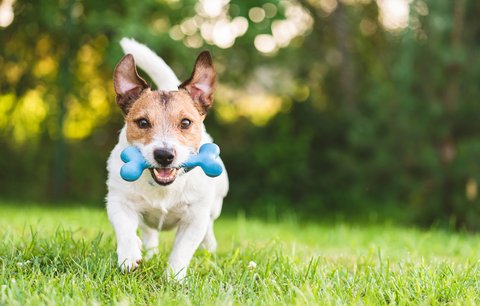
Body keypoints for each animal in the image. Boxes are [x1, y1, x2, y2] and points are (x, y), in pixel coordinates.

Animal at [106, 37, 230, 280]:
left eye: (186, 122)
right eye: (143, 123)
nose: (164, 155)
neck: (163, 188)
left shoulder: (195, 218)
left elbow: (182, 249)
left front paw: (174, 277)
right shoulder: (118, 201)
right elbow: (125, 228)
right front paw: (129, 256)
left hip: (215, 205)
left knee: (209, 229)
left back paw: (209, 250)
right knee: (148, 232)